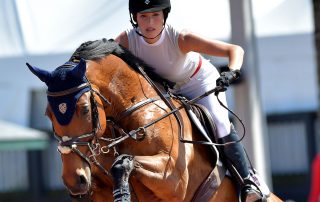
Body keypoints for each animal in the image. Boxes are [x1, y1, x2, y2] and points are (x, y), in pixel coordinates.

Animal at [27, 38, 282, 201]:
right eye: (47, 114)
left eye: (84, 109)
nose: (74, 180)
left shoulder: (173, 180)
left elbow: (124, 163)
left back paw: (252, 190)